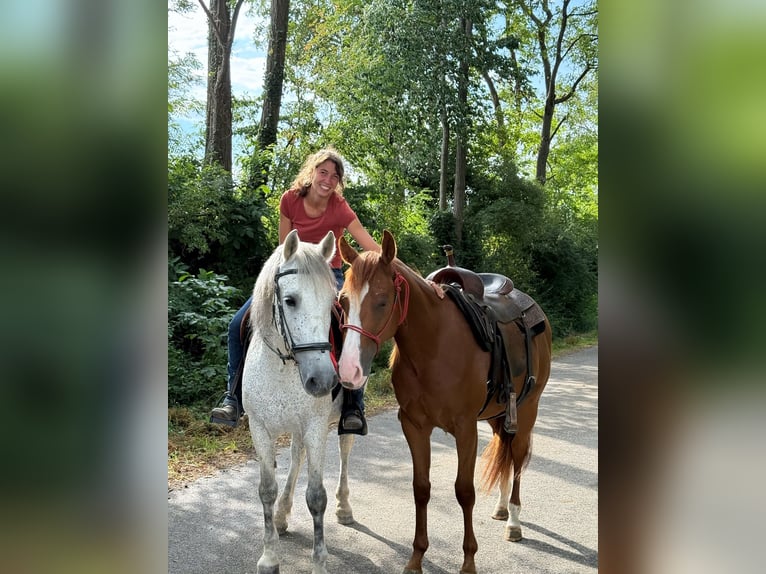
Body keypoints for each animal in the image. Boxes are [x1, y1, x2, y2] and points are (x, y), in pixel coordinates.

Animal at [242, 229, 357, 574]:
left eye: (332, 303)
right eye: (290, 300)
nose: (323, 380)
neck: (282, 366)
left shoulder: (316, 426)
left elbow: (317, 497)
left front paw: (319, 562)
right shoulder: (260, 428)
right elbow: (266, 490)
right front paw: (269, 556)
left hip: (337, 423)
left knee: (345, 450)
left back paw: (345, 507)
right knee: (296, 457)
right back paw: (282, 515)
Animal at [336, 230, 552, 574]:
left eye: (382, 300)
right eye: (343, 300)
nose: (349, 370)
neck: (434, 346)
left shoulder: (465, 430)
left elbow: (464, 492)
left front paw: (468, 561)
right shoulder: (414, 426)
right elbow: (420, 488)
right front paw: (416, 557)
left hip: (527, 411)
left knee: (517, 461)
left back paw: (514, 521)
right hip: (498, 416)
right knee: (504, 453)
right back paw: (502, 507)